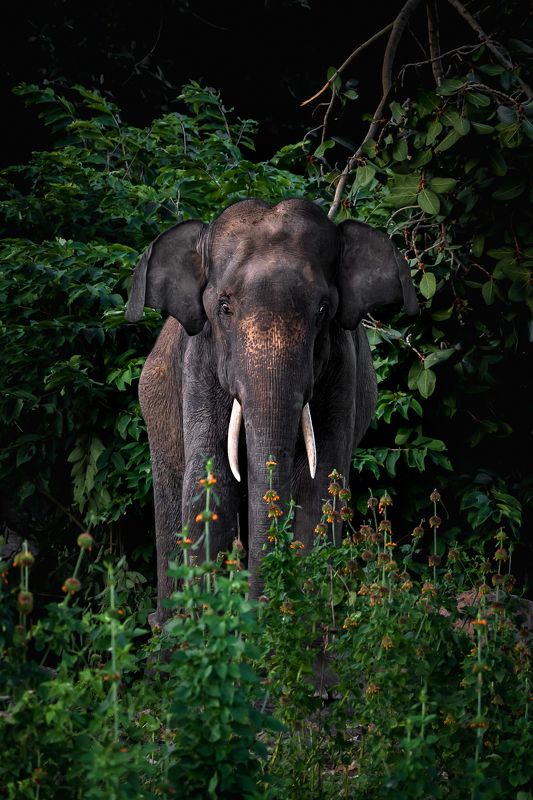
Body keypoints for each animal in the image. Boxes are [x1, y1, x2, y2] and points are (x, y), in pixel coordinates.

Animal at [125, 197, 418, 623]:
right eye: (224, 307)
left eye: (323, 309)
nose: (256, 606)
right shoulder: (200, 361)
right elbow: (209, 480)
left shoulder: (341, 369)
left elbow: (321, 484)